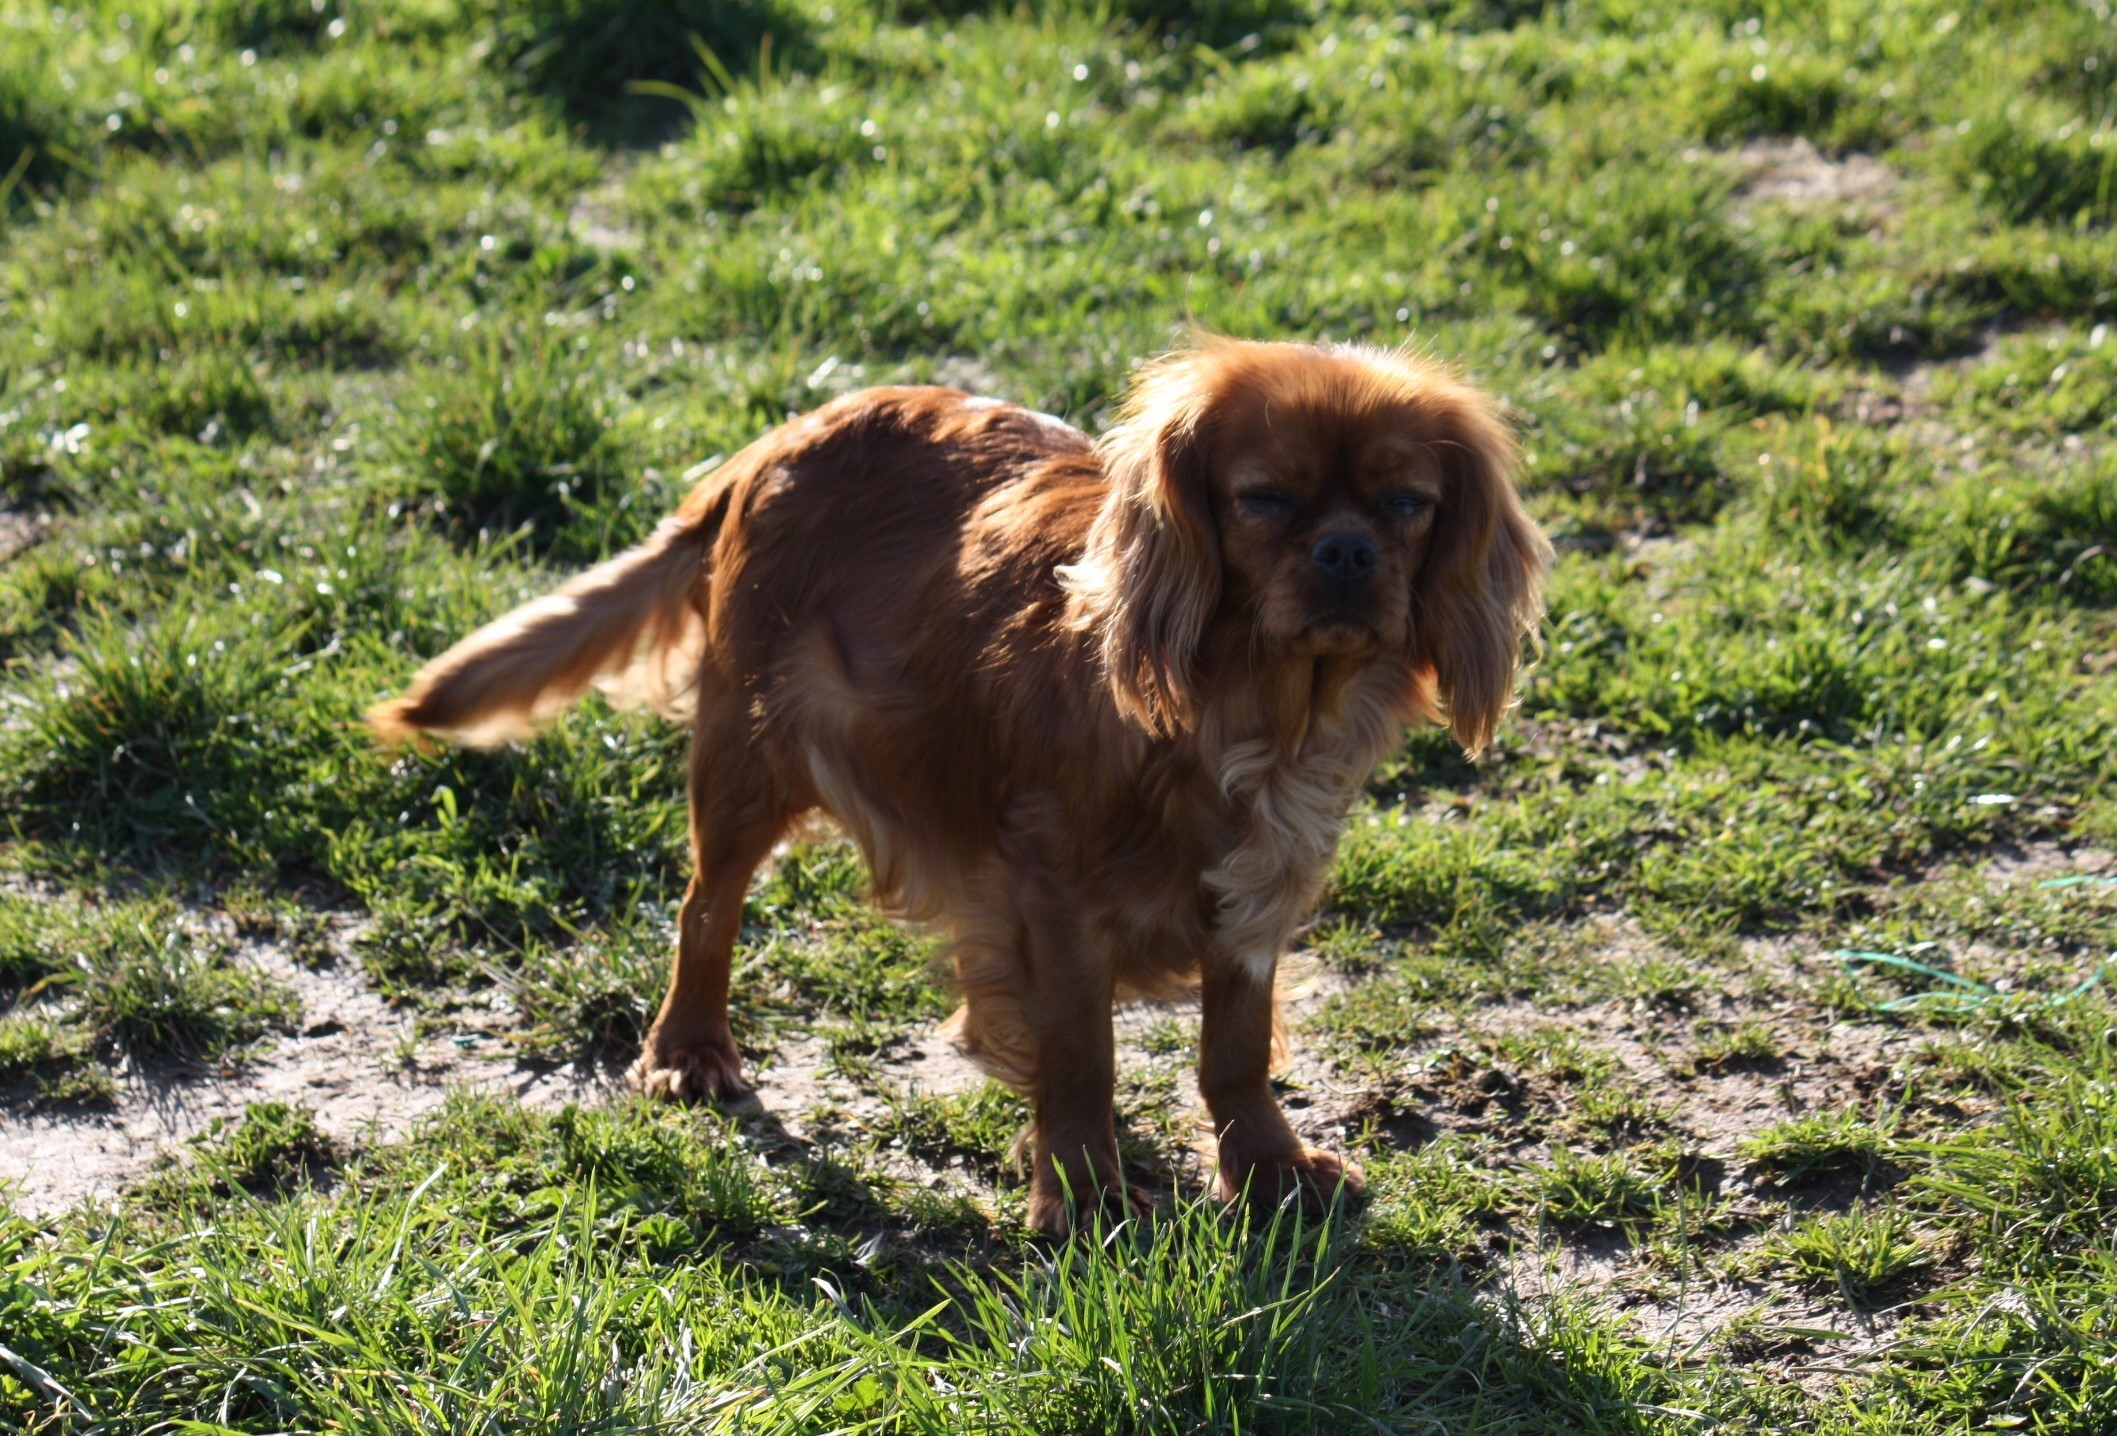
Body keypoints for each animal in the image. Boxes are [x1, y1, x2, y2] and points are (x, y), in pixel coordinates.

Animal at [372, 336, 1549, 1236]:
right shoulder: (1055, 896)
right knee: (707, 906)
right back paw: (687, 1051)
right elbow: (1081, 1054)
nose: (1348, 552)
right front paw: (1082, 1195)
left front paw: (1267, 1169)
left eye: (1405, 504)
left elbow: (1235, 1050)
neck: (1252, 708)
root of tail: (769, 446)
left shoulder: (1255, 892)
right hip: (748, 755)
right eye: (1263, 500)